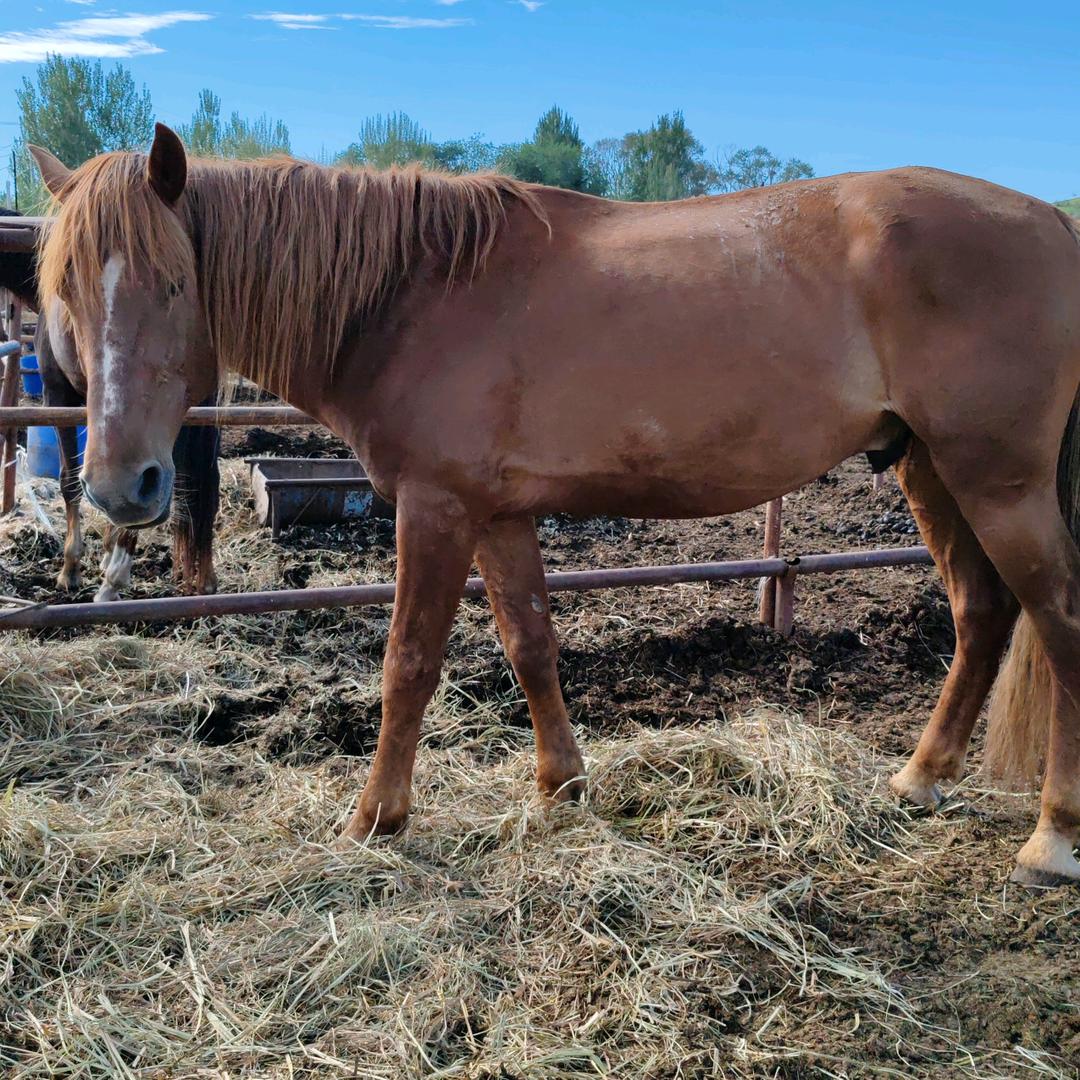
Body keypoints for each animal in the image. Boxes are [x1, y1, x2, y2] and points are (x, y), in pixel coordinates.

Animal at [0, 205, 219, 599]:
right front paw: (101, 551)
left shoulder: (58, 397)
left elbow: (70, 480)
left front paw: (71, 568)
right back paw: (199, 576)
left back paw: (113, 581)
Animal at [29, 126, 1080, 887]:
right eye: (66, 291)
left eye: (173, 282)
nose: (122, 486)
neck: (414, 295)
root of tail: (1053, 225)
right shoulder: (497, 514)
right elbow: (530, 642)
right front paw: (559, 790)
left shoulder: (436, 509)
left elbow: (408, 664)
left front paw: (375, 818)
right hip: (927, 468)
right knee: (982, 611)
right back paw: (920, 780)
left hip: (998, 481)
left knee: (1057, 620)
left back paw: (1050, 841)